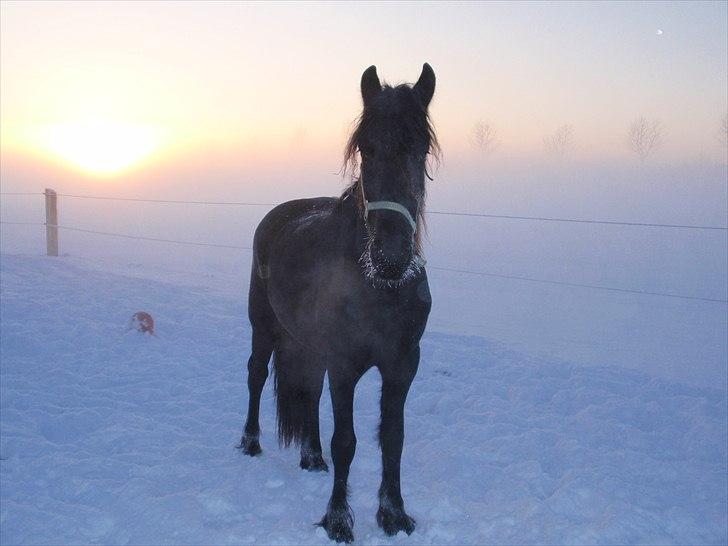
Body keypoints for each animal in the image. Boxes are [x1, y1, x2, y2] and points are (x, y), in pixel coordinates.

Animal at [239, 63, 438, 540]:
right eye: (365, 147)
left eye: (420, 148)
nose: (391, 256)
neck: (380, 289)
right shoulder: (345, 365)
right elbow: (346, 441)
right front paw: (337, 519)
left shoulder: (402, 365)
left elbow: (393, 438)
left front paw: (393, 513)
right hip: (263, 326)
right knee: (255, 375)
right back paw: (251, 442)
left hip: (310, 347)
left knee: (308, 391)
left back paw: (311, 456)